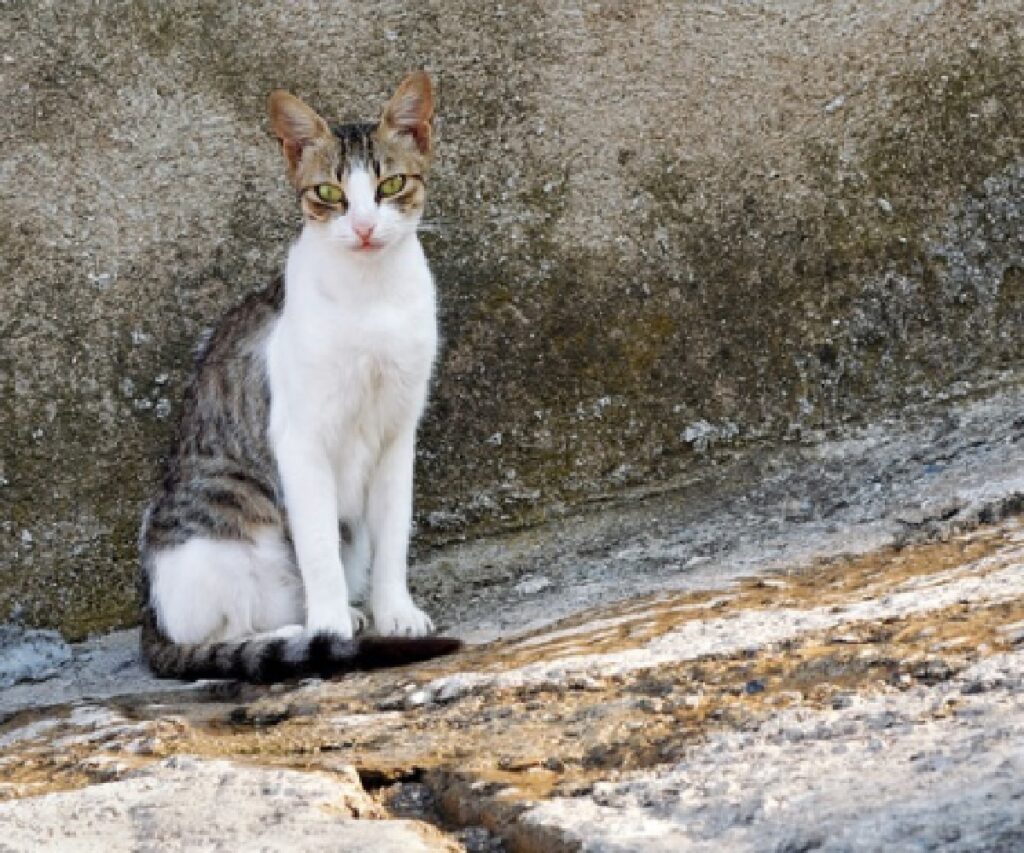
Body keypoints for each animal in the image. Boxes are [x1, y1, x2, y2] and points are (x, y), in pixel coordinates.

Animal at [137, 74, 460, 684]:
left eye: (391, 184)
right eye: (329, 194)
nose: (363, 227)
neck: (371, 298)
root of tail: (149, 615)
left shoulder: (397, 433)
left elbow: (394, 535)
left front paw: (395, 612)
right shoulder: (301, 440)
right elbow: (318, 551)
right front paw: (329, 633)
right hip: (221, 540)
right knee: (219, 638)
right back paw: (302, 635)